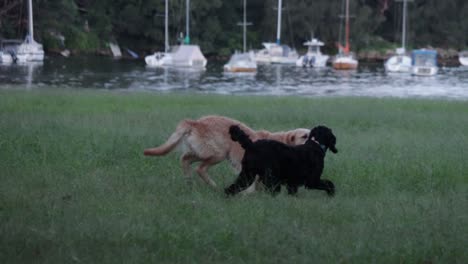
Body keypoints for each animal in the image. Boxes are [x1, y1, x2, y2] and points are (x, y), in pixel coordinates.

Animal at [144, 115, 310, 188]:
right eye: (305, 136)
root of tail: (196, 122)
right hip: (218, 154)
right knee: (200, 168)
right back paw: (213, 186)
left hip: (201, 152)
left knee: (185, 159)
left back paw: (189, 181)